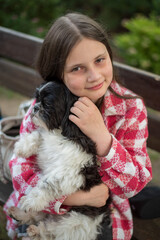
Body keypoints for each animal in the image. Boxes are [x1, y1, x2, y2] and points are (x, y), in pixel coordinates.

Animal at [8, 81, 111, 240]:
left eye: (47, 103)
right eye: (37, 99)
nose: (35, 107)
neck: (57, 133)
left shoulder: (68, 173)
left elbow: (46, 184)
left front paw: (31, 200)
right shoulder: (45, 138)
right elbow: (38, 135)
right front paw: (23, 146)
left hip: (73, 222)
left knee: (49, 231)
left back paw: (34, 230)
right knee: (38, 216)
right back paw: (19, 214)